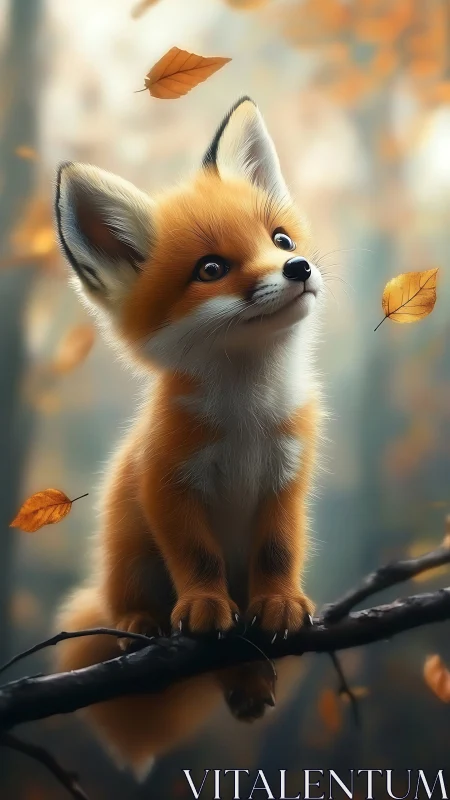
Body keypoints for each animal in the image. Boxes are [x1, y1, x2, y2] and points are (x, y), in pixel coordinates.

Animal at [54, 96, 324, 778]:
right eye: (211, 269)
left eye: (280, 239)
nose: (299, 267)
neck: (246, 418)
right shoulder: (168, 482)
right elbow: (198, 559)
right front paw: (204, 605)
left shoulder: (288, 475)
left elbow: (278, 551)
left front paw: (280, 602)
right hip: (128, 555)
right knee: (122, 609)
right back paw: (143, 624)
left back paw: (249, 681)